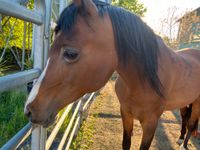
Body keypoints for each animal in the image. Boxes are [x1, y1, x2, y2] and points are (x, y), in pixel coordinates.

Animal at [24, 0, 200, 149]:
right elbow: (126, 143)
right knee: (185, 118)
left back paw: (184, 144)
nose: (28, 109)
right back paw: (180, 139)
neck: (143, 81)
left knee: (191, 123)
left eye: (71, 53)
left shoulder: (151, 123)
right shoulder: (126, 114)